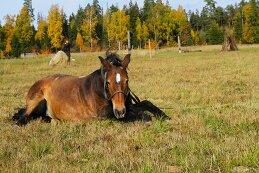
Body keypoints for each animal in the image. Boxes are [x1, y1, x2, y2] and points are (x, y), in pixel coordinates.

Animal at [13, 53, 170, 125]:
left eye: (127, 80)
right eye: (108, 82)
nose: (120, 111)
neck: (101, 91)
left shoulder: (127, 105)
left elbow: (146, 103)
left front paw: (164, 116)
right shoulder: (103, 115)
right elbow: (136, 114)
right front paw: (147, 118)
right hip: (35, 100)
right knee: (23, 117)